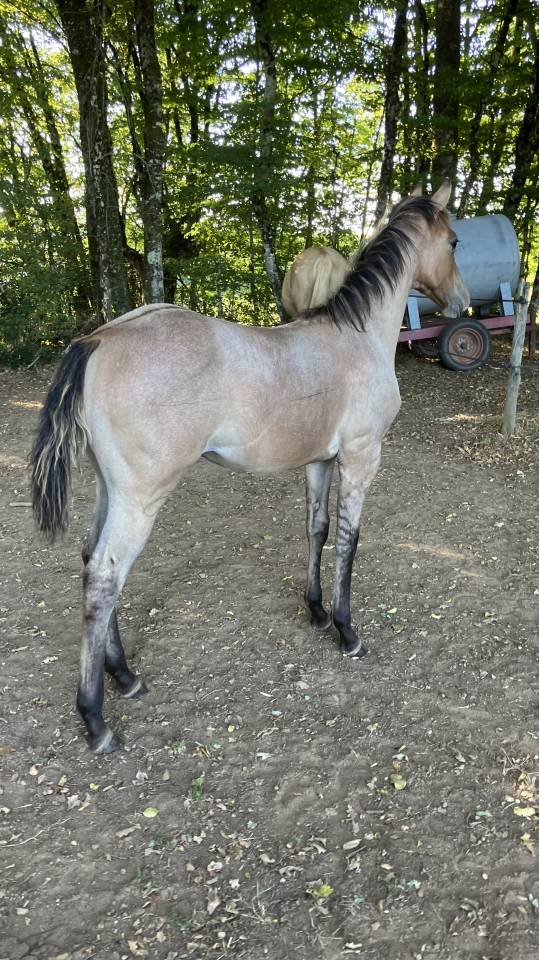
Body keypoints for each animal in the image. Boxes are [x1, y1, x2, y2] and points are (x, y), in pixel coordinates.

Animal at [30, 181, 469, 754]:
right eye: (456, 241)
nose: (462, 303)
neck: (356, 337)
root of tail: (98, 339)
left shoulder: (319, 461)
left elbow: (317, 528)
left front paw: (316, 612)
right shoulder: (360, 456)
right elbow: (349, 540)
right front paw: (347, 631)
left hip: (111, 490)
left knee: (90, 559)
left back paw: (123, 674)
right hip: (140, 497)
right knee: (106, 573)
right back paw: (97, 718)